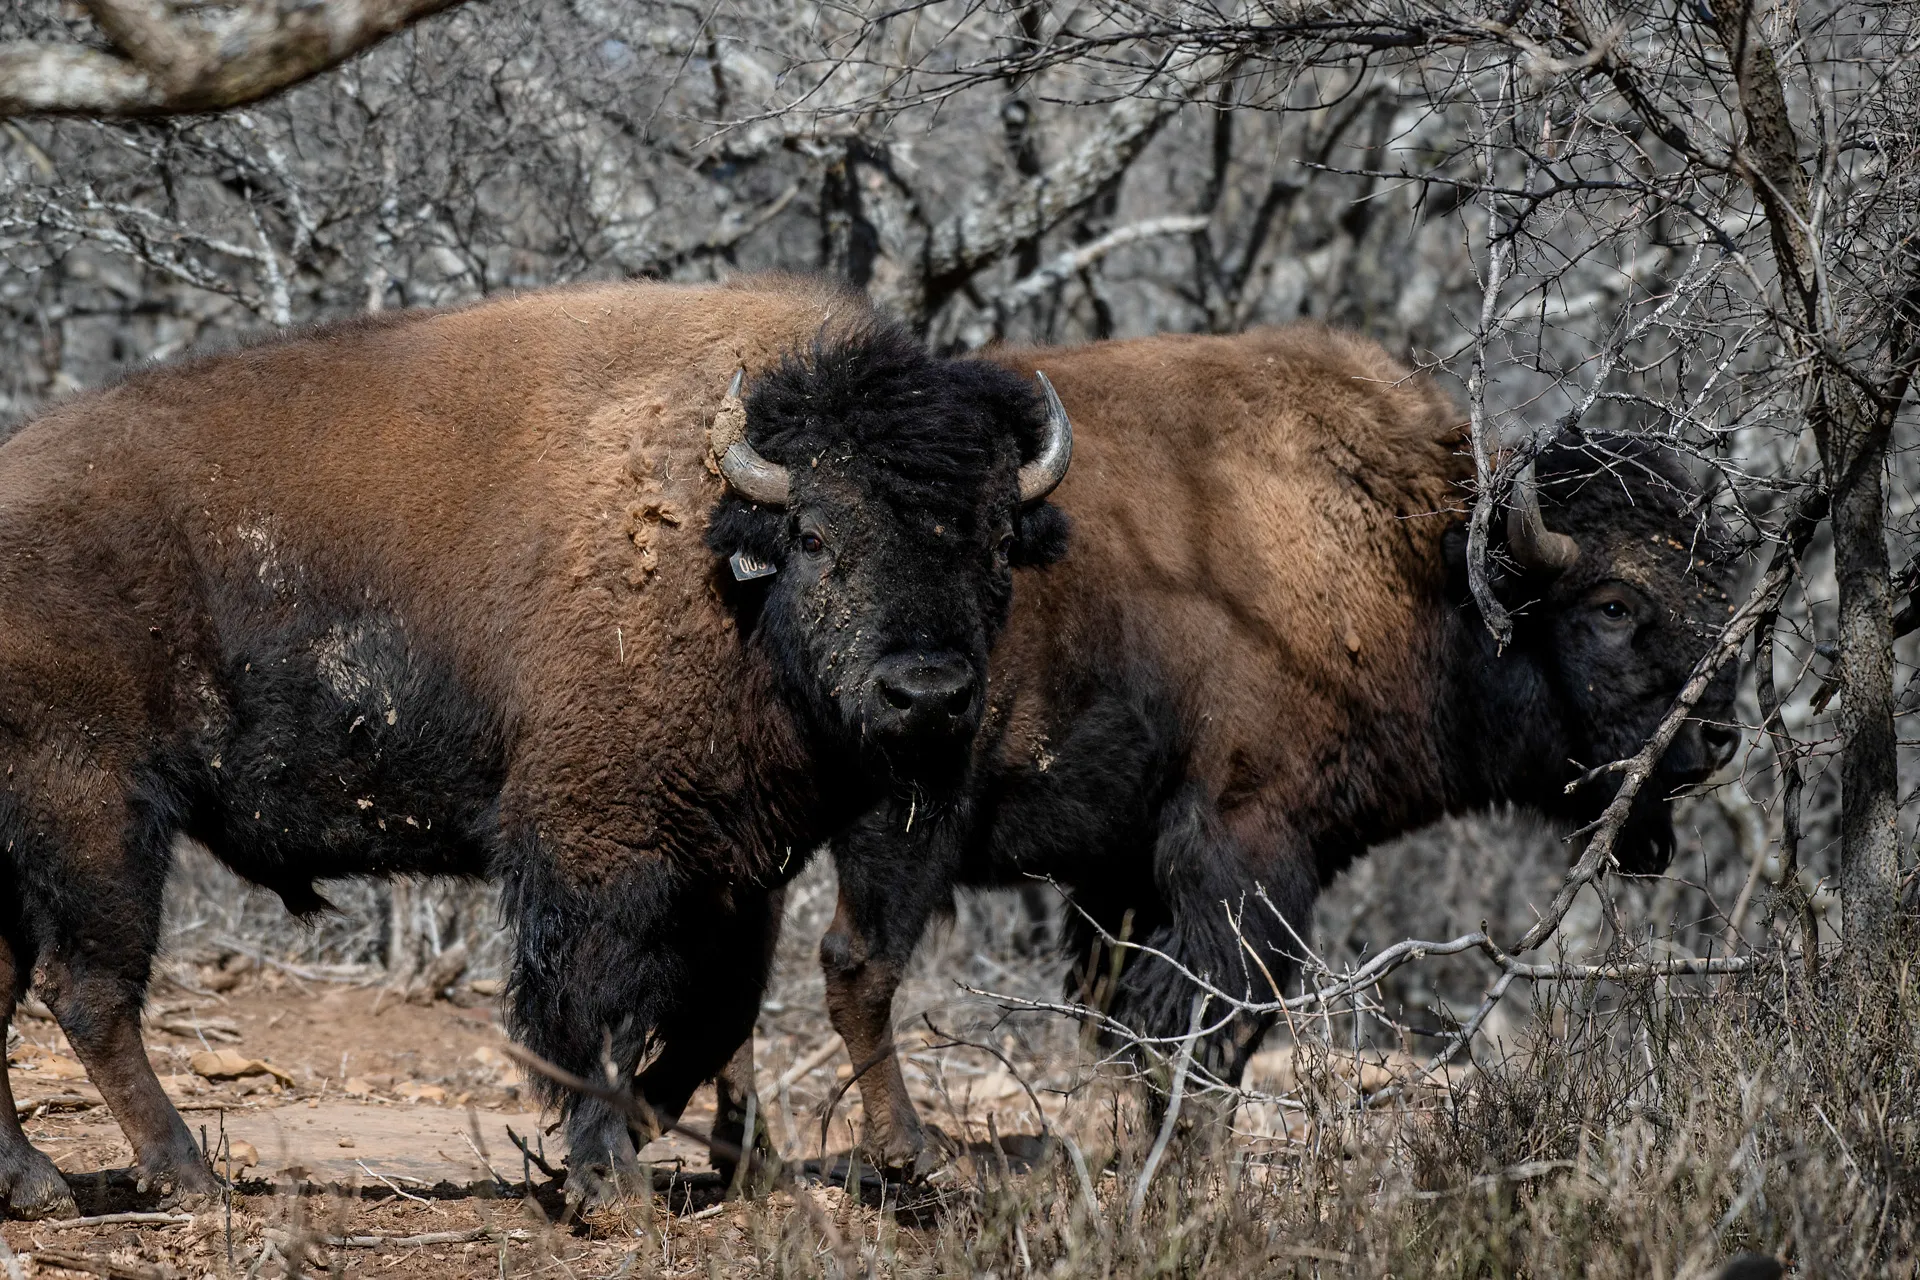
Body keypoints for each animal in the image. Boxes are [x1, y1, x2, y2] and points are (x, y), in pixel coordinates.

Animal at [0, 277, 1071, 1216]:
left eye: (995, 539)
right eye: (813, 533)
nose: (926, 693)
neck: (725, 558)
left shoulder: (735, 868)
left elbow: (713, 1016)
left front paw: (623, 1150)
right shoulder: (601, 848)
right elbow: (595, 1011)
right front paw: (609, 1184)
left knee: (15, 986)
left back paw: (37, 1186)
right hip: (98, 815)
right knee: (88, 991)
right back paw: (183, 1177)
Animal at [820, 323, 1740, 1170]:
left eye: (1716, 592)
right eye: (1613, 607)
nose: (1717, 737)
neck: (1414, 558)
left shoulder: (1123, 875)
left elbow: (1142, 1017)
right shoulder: (1247, 849)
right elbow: (1210, 1017)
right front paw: (1188, 1167)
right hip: (908, 820)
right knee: (861, 966)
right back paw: (904, 1156)